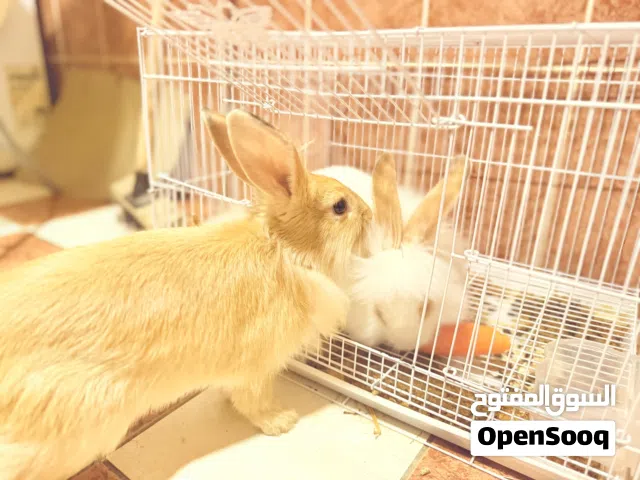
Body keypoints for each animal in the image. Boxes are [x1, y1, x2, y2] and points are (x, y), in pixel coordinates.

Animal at [0, 109, 373, 480]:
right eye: (340, 207)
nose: (370, 213)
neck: (284, 251)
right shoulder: (255, 369)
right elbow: (253, 402)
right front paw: (281, 422)